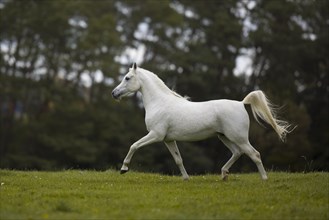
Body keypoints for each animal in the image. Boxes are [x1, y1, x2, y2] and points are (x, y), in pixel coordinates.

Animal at [111, 62, 290, 180]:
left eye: (127, 78)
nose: (114, 93)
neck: (159, 102)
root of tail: (241, 103)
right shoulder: (168, 140)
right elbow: (178, 159)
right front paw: (186, 179)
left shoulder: (156, 135)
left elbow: (134, 145)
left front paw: (124, 168)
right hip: (224, 137)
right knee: (238, 152)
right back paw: (223, 175)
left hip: (239, 138)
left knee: (255, 154)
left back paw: (264, 179)